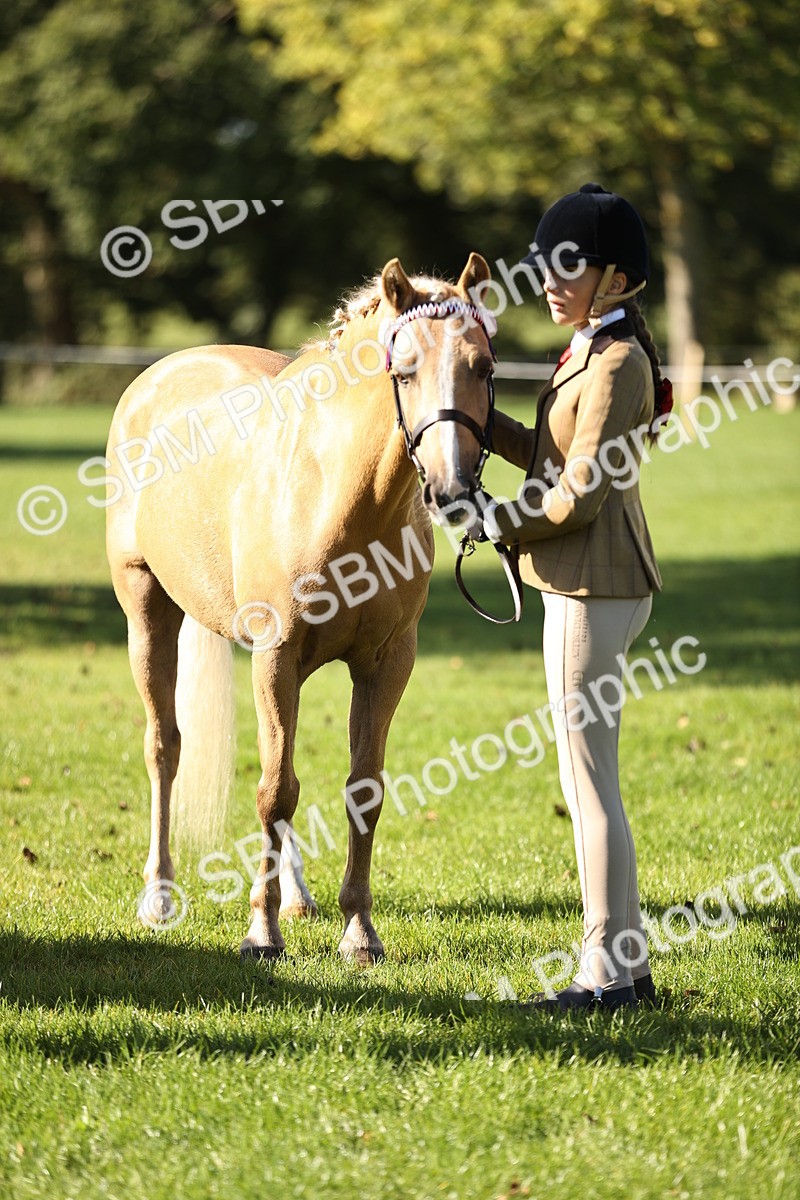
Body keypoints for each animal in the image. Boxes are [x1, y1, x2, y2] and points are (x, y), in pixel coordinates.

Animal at [105, 252, 497, 962]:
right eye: (404, 371)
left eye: (482, 367)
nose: (452, 487)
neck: (336, 494)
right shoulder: (276, 654)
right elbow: (272, 791)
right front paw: (261, 934)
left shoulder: (385, 663)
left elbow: (359, 788)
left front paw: (359, 932)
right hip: (148, 617)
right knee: (165, 747)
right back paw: (160, 897)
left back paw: (297, 896)